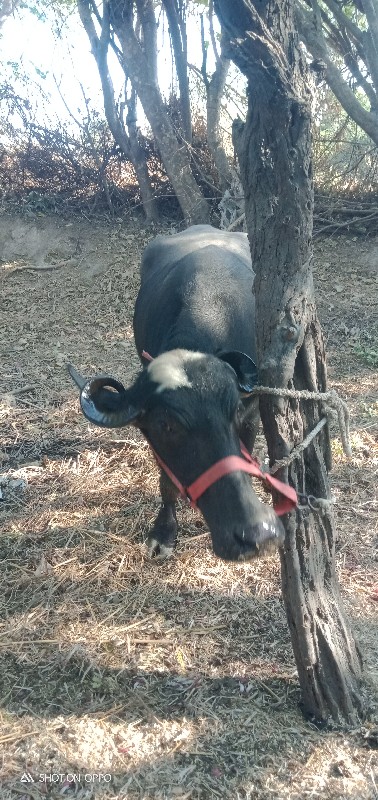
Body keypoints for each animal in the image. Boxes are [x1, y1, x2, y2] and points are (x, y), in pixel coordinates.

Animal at [68, 225, 284, 560]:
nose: (260, 535)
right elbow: (167, 482)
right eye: (167, 425)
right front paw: (164, 532)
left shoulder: (251, 417)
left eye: (234, 411)